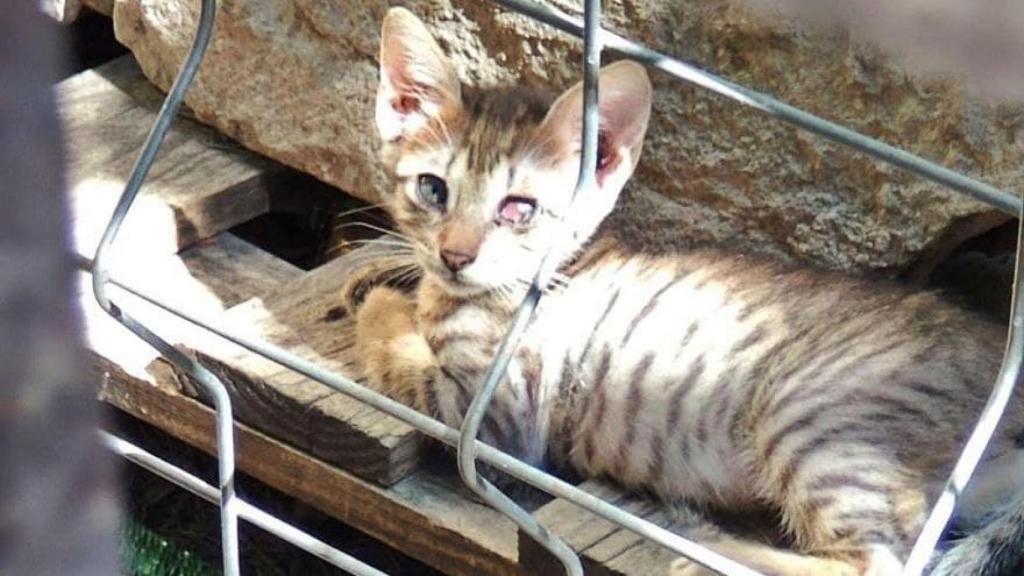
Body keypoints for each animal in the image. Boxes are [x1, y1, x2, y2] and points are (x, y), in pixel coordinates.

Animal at [342, 5, 1024, 573]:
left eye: (519, 210)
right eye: (433, 189)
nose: (455, 256)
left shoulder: (494, 415)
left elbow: (397, 352)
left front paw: (382, 303)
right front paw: (380, 273)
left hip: (808, 416)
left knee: (877, 563)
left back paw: (699, 550)